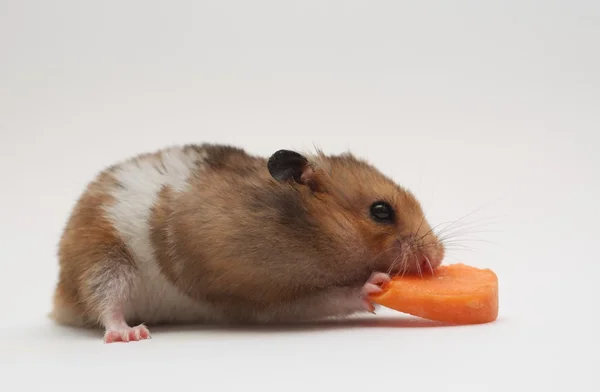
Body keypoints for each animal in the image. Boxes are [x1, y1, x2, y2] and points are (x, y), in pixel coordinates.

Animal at [50, 144, 446, 344]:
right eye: (381, 211)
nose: (437, 260)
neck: (306, 234)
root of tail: (60, 300)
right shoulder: (244, 285)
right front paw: (376, 283)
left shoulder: (269, 300)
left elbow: (324, 299)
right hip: (103, 257)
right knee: (106, 301)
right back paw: (130, 334)